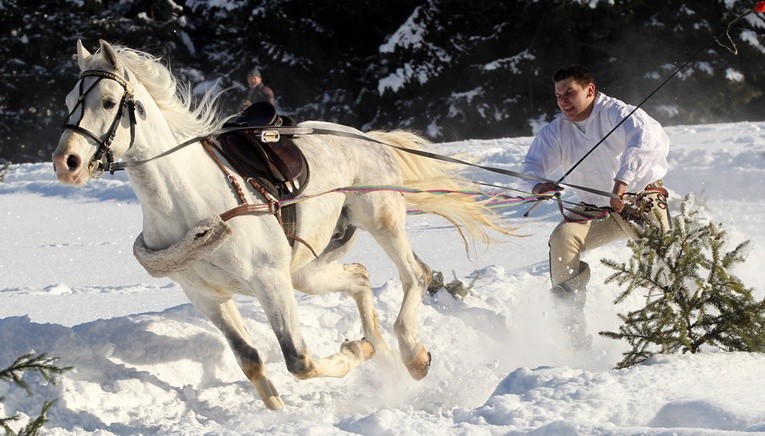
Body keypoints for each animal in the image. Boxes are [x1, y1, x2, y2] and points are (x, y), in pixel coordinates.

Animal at [50, 40, 510, 408]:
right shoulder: (207, 297)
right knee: (360, 278)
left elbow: (299, 361)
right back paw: (379, 351)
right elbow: (250, 361)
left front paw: (352, 354)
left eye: (109, 102)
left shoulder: (270, 282)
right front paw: (283, 407)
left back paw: (412, 356)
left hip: (379, 219)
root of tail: (363, 134)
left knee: (417, 274)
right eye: (70, 100)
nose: (65, 162)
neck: (188, 205)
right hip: (308, 268)